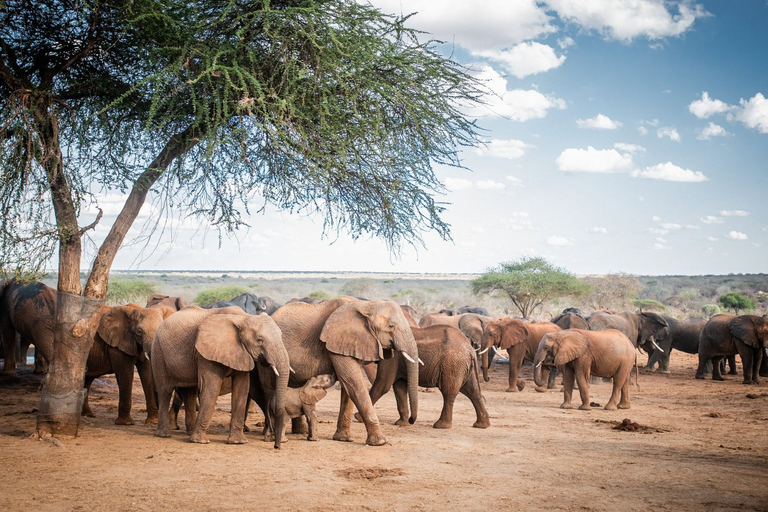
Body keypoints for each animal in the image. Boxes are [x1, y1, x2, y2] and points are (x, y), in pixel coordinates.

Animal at [152, 306, 290, 446]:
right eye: (259, 340)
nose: (276, 446)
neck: (243, 318)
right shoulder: (207, 351)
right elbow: (212, 387)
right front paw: (201, 442)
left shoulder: (242, 353)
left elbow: (242, 387)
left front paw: (238, 442)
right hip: (158, 352)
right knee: (165, 391)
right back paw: (164, 434)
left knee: (189, 392)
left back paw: (189, 433)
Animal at [260, 298, 420, 446]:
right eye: (391, 326)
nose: (411, 420)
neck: (366, 305)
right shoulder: (337, 342)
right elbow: (353, 383)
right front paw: (380, 442)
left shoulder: (348, 345)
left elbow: (348, 387)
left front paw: (344, 438)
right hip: (267, 356)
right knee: (269, 389)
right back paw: (270, 435)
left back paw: (300, 431)